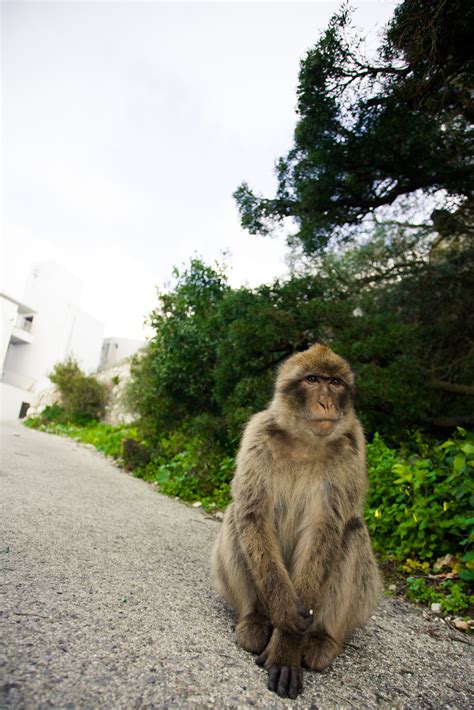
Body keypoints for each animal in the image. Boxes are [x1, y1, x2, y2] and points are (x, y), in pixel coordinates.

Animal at [211, 344, 382, 700]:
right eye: (313, 380)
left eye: (335, 383)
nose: (326, 402)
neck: (306, 441)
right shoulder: (258, 434)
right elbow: (252, 513)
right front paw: (285, 615)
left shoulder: (352, 446)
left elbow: (326, 527)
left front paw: (286, 650)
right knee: (236, 514)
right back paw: (255, 619)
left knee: (353, 531)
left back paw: (322, 639)